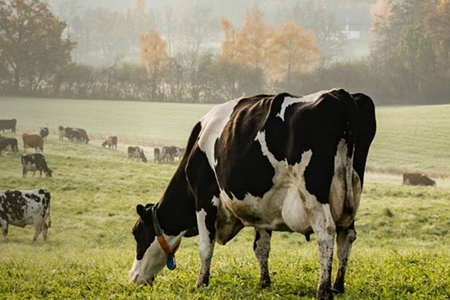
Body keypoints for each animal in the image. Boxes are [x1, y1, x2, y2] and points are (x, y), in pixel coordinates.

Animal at [129, 89, 376, 300]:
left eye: (137, 233)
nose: (133, 277)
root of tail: (339, 94)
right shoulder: (262, 208)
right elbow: (261, 247)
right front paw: (264, 282)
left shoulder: (204, 198)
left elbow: (205, 246)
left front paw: (201, 283)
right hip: (351, 195)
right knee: (346, 235)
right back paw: (338, 286)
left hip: (313, 193)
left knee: (326, 232)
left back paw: (323, 290)